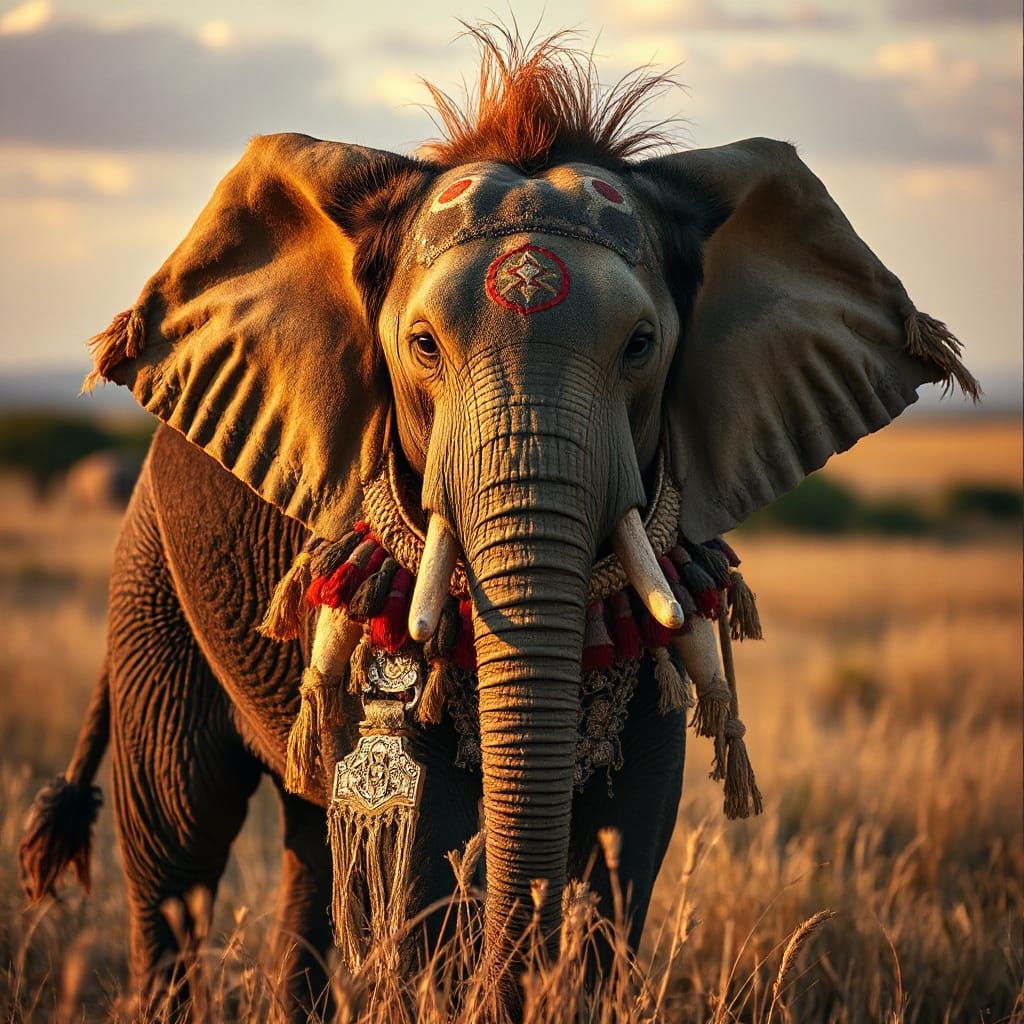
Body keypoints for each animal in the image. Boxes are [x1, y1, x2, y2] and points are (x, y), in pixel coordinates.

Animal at [18, 30, 975, 1019]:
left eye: (641, 348)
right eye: (422, 347)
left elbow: (630, 840)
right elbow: (424, 847)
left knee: (308, 844)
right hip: (151, 570)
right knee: (179, 835)